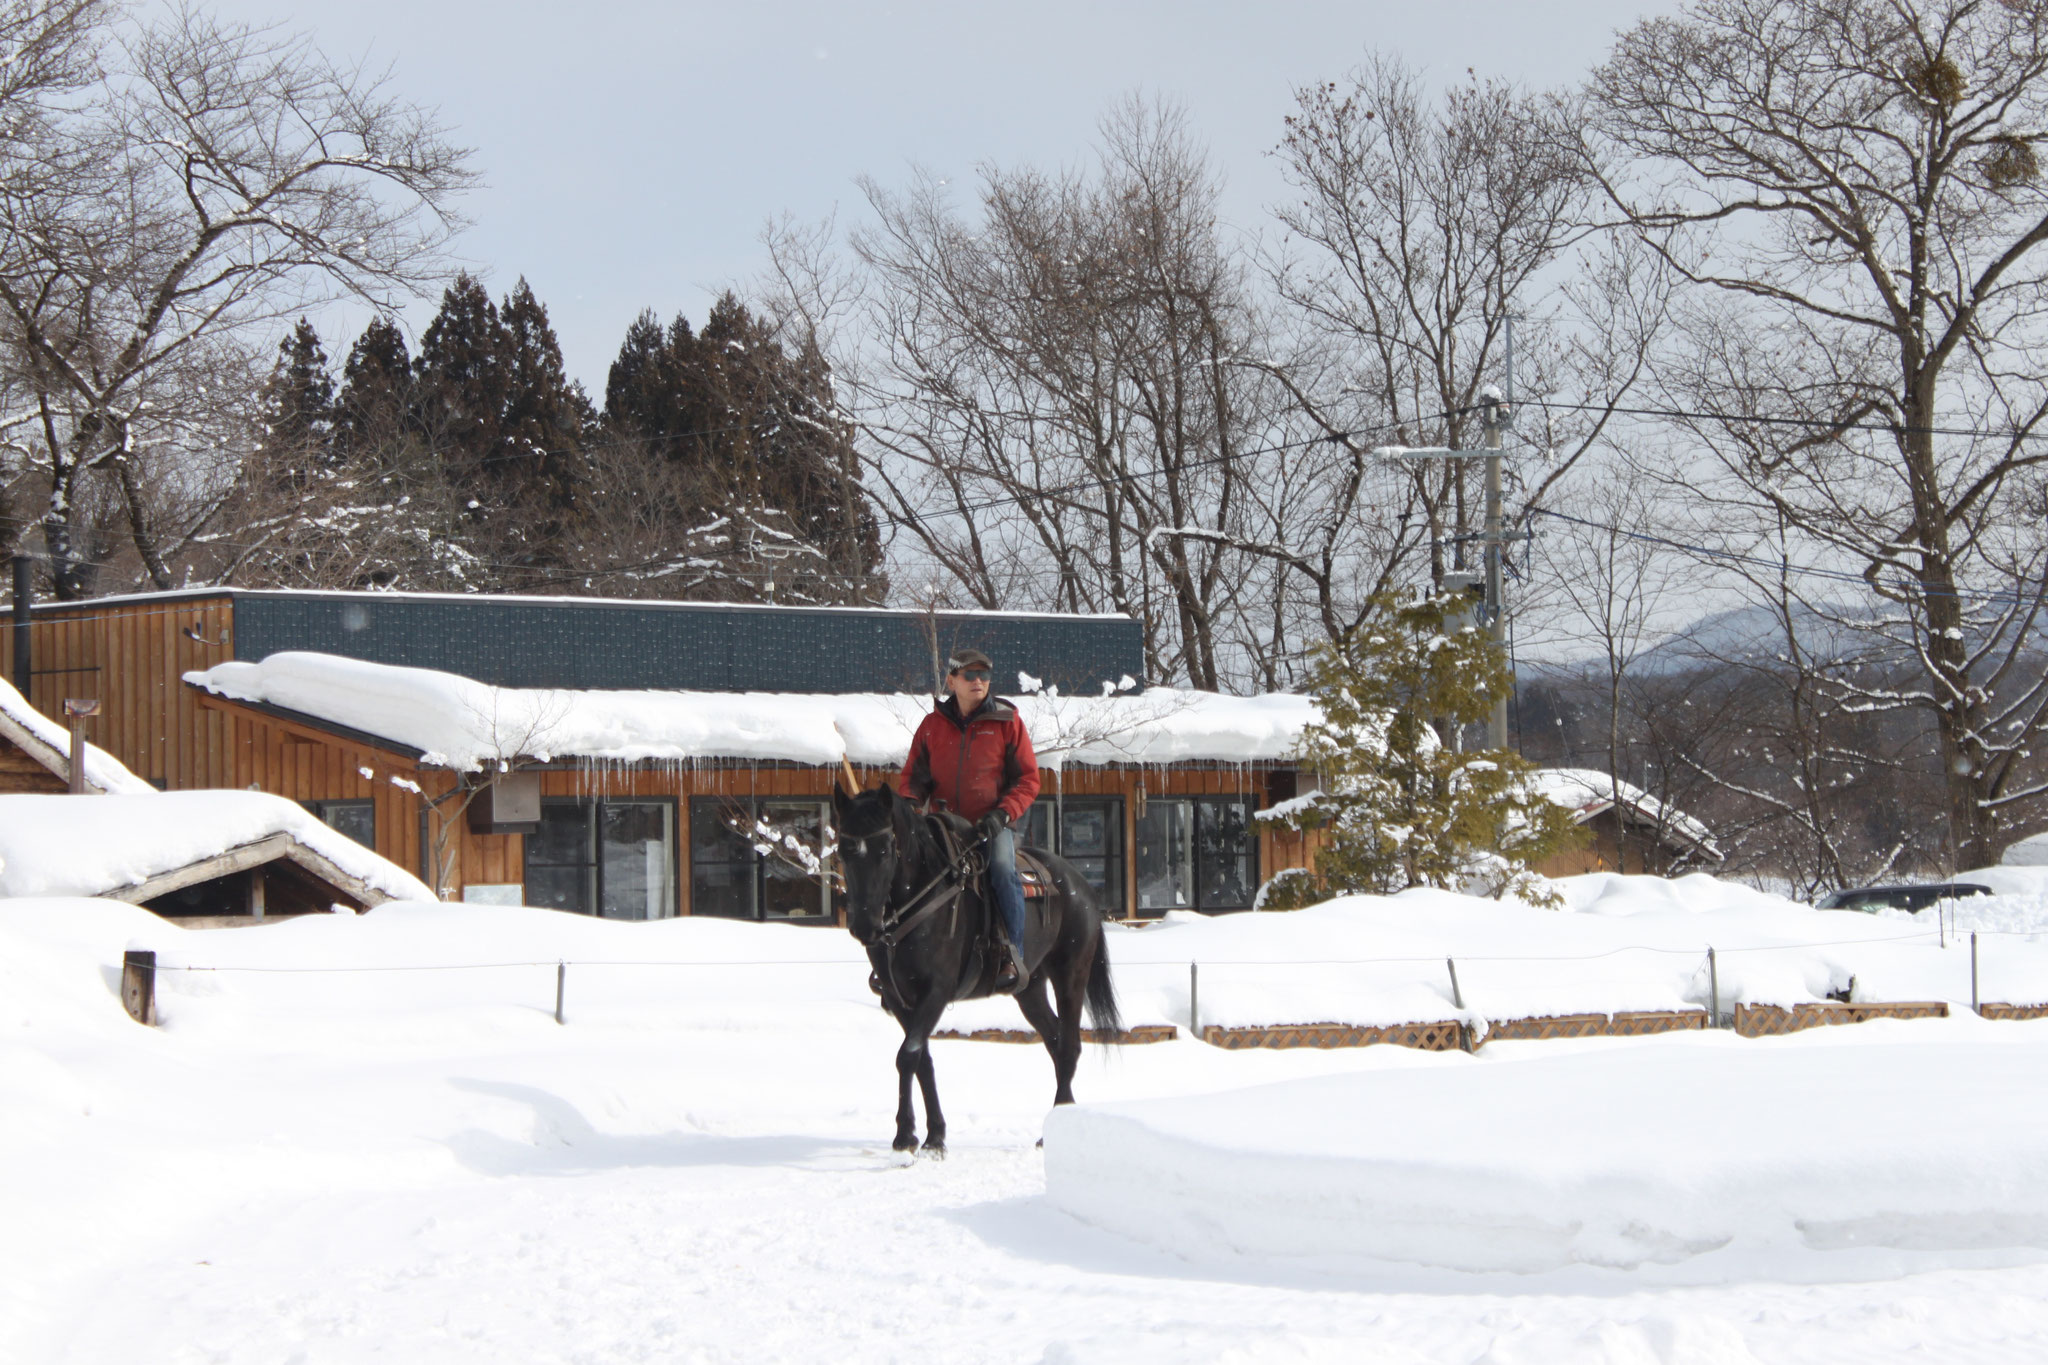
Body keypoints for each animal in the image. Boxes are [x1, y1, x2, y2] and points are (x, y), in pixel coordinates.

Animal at [827, 785, 1122, 1162]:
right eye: (843, 851)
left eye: (884, 850)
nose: (865, 927)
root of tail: (1081, 884)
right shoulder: (899, 998)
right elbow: (921, 1060)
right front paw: (934, 1136)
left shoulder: (936, 992)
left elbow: (907, 1056)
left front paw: (906, 1137)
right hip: (1030, 989)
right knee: (1055, 1043)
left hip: (1071, 975)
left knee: (1069, 1045)